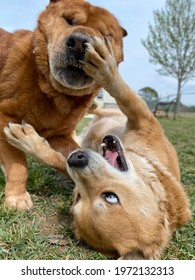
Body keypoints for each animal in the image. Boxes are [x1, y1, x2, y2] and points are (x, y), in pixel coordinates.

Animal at [0, 0, 126, 209]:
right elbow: (18, 164)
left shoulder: (61, 136)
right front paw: (17, 197)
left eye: (105, 36)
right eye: (69, 20)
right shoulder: (4, 117)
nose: (80, 43)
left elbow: (70, 155)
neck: (55, 92)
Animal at [3, 36, 191, 260]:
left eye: (110, 197)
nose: (76, 159)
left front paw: (28, 141)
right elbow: (123, 93)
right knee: (99, 111)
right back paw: (93, 103)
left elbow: (58, 160)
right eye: (79, 197)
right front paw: (104, 66)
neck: (148, 161)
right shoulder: (143, 120)